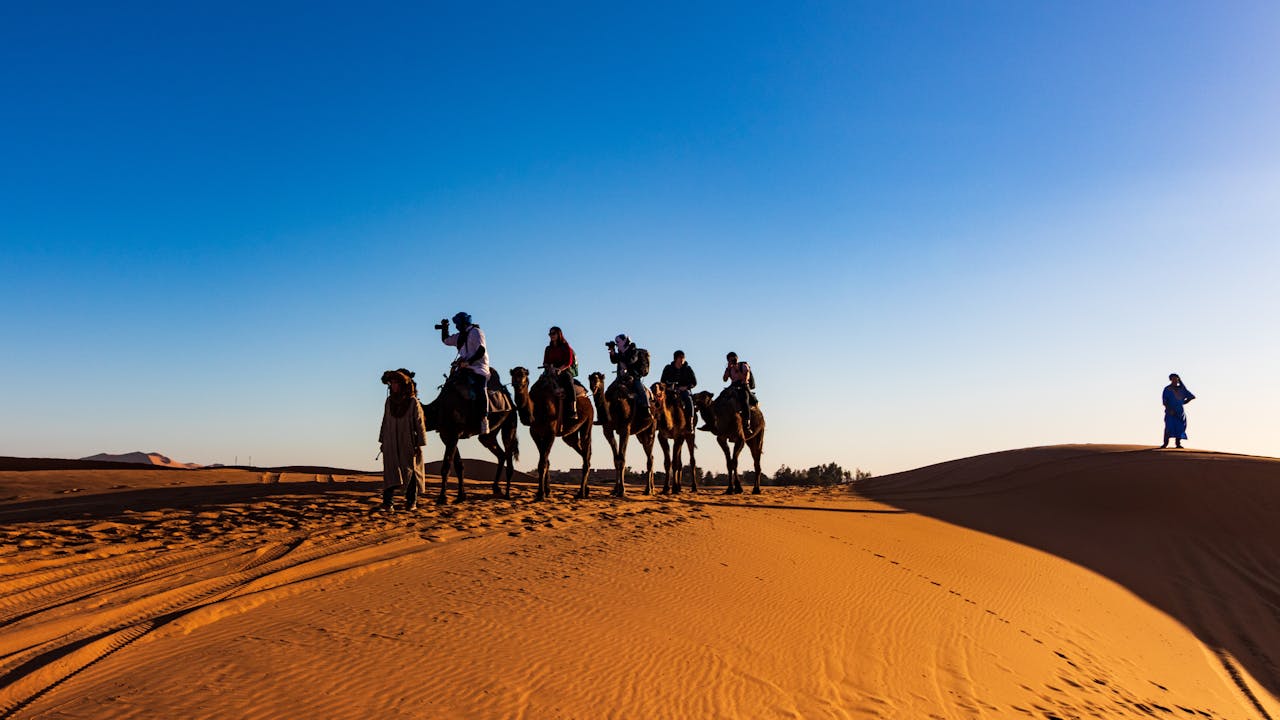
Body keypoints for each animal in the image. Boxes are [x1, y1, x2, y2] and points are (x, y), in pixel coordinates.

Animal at [422, 371, 517, 502]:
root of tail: (509, 399)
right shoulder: (446, 436)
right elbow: (459, 465)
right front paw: (461, 496)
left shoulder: (453, 434)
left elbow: (446, 466)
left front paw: (442, 498)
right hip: (489, 434)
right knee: (500, 453)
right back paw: (496, 489)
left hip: (510, 422)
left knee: (508, 452)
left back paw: (507, 494)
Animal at [506, 363, 591, 499]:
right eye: (513, 374)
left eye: (524, 375)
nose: (518, 383)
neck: (537, 408)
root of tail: (587, 398)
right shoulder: (535, 433)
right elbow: (545, 461)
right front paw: (546, 491)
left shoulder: (550, 432)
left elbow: (542, 463)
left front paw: (541, 494)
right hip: (570, 435)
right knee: (583, 453)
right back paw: (585, 490)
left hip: (588, 422)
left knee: (586, 451)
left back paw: (581, 493)